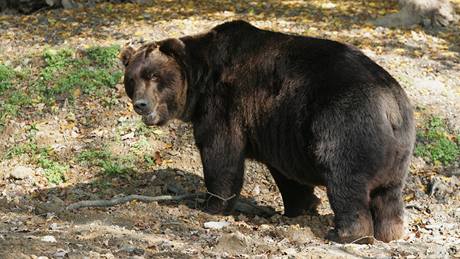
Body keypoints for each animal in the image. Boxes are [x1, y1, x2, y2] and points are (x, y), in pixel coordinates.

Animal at [120, 20, 416, 244]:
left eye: (155, 76)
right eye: (132, 79)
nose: (141, 104)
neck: (200, 82)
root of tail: (390, 104)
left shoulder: (225, 103)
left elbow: (221, 154)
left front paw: (211, 205)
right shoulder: (279, 132)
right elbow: (288, 176)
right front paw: (299, 207)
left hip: (344, 122)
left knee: (345, 179)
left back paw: (345, 234)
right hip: (398, 152)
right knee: (388, 195)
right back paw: (390, 233)